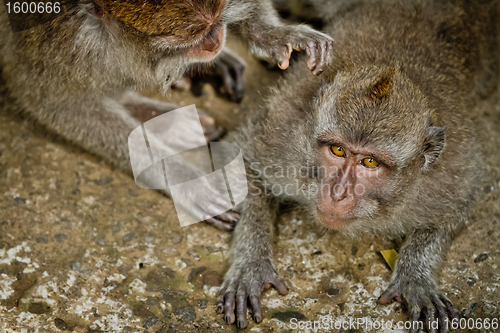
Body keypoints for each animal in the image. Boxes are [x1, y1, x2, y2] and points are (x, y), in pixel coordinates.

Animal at [0, 0, 336, 228]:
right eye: (193, 34)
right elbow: (54, 102)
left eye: (214, 22)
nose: (216, 38)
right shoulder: (55, 37)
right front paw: (185, 180)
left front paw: (276, 34)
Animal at [217, 0, 498, 328]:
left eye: (369, 161)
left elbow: (455, 211)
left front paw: (415, 277)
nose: (338, 193)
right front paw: (252, 263)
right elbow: (241, 159)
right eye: (338, 150)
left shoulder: (449, 174)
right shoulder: (281, 139)